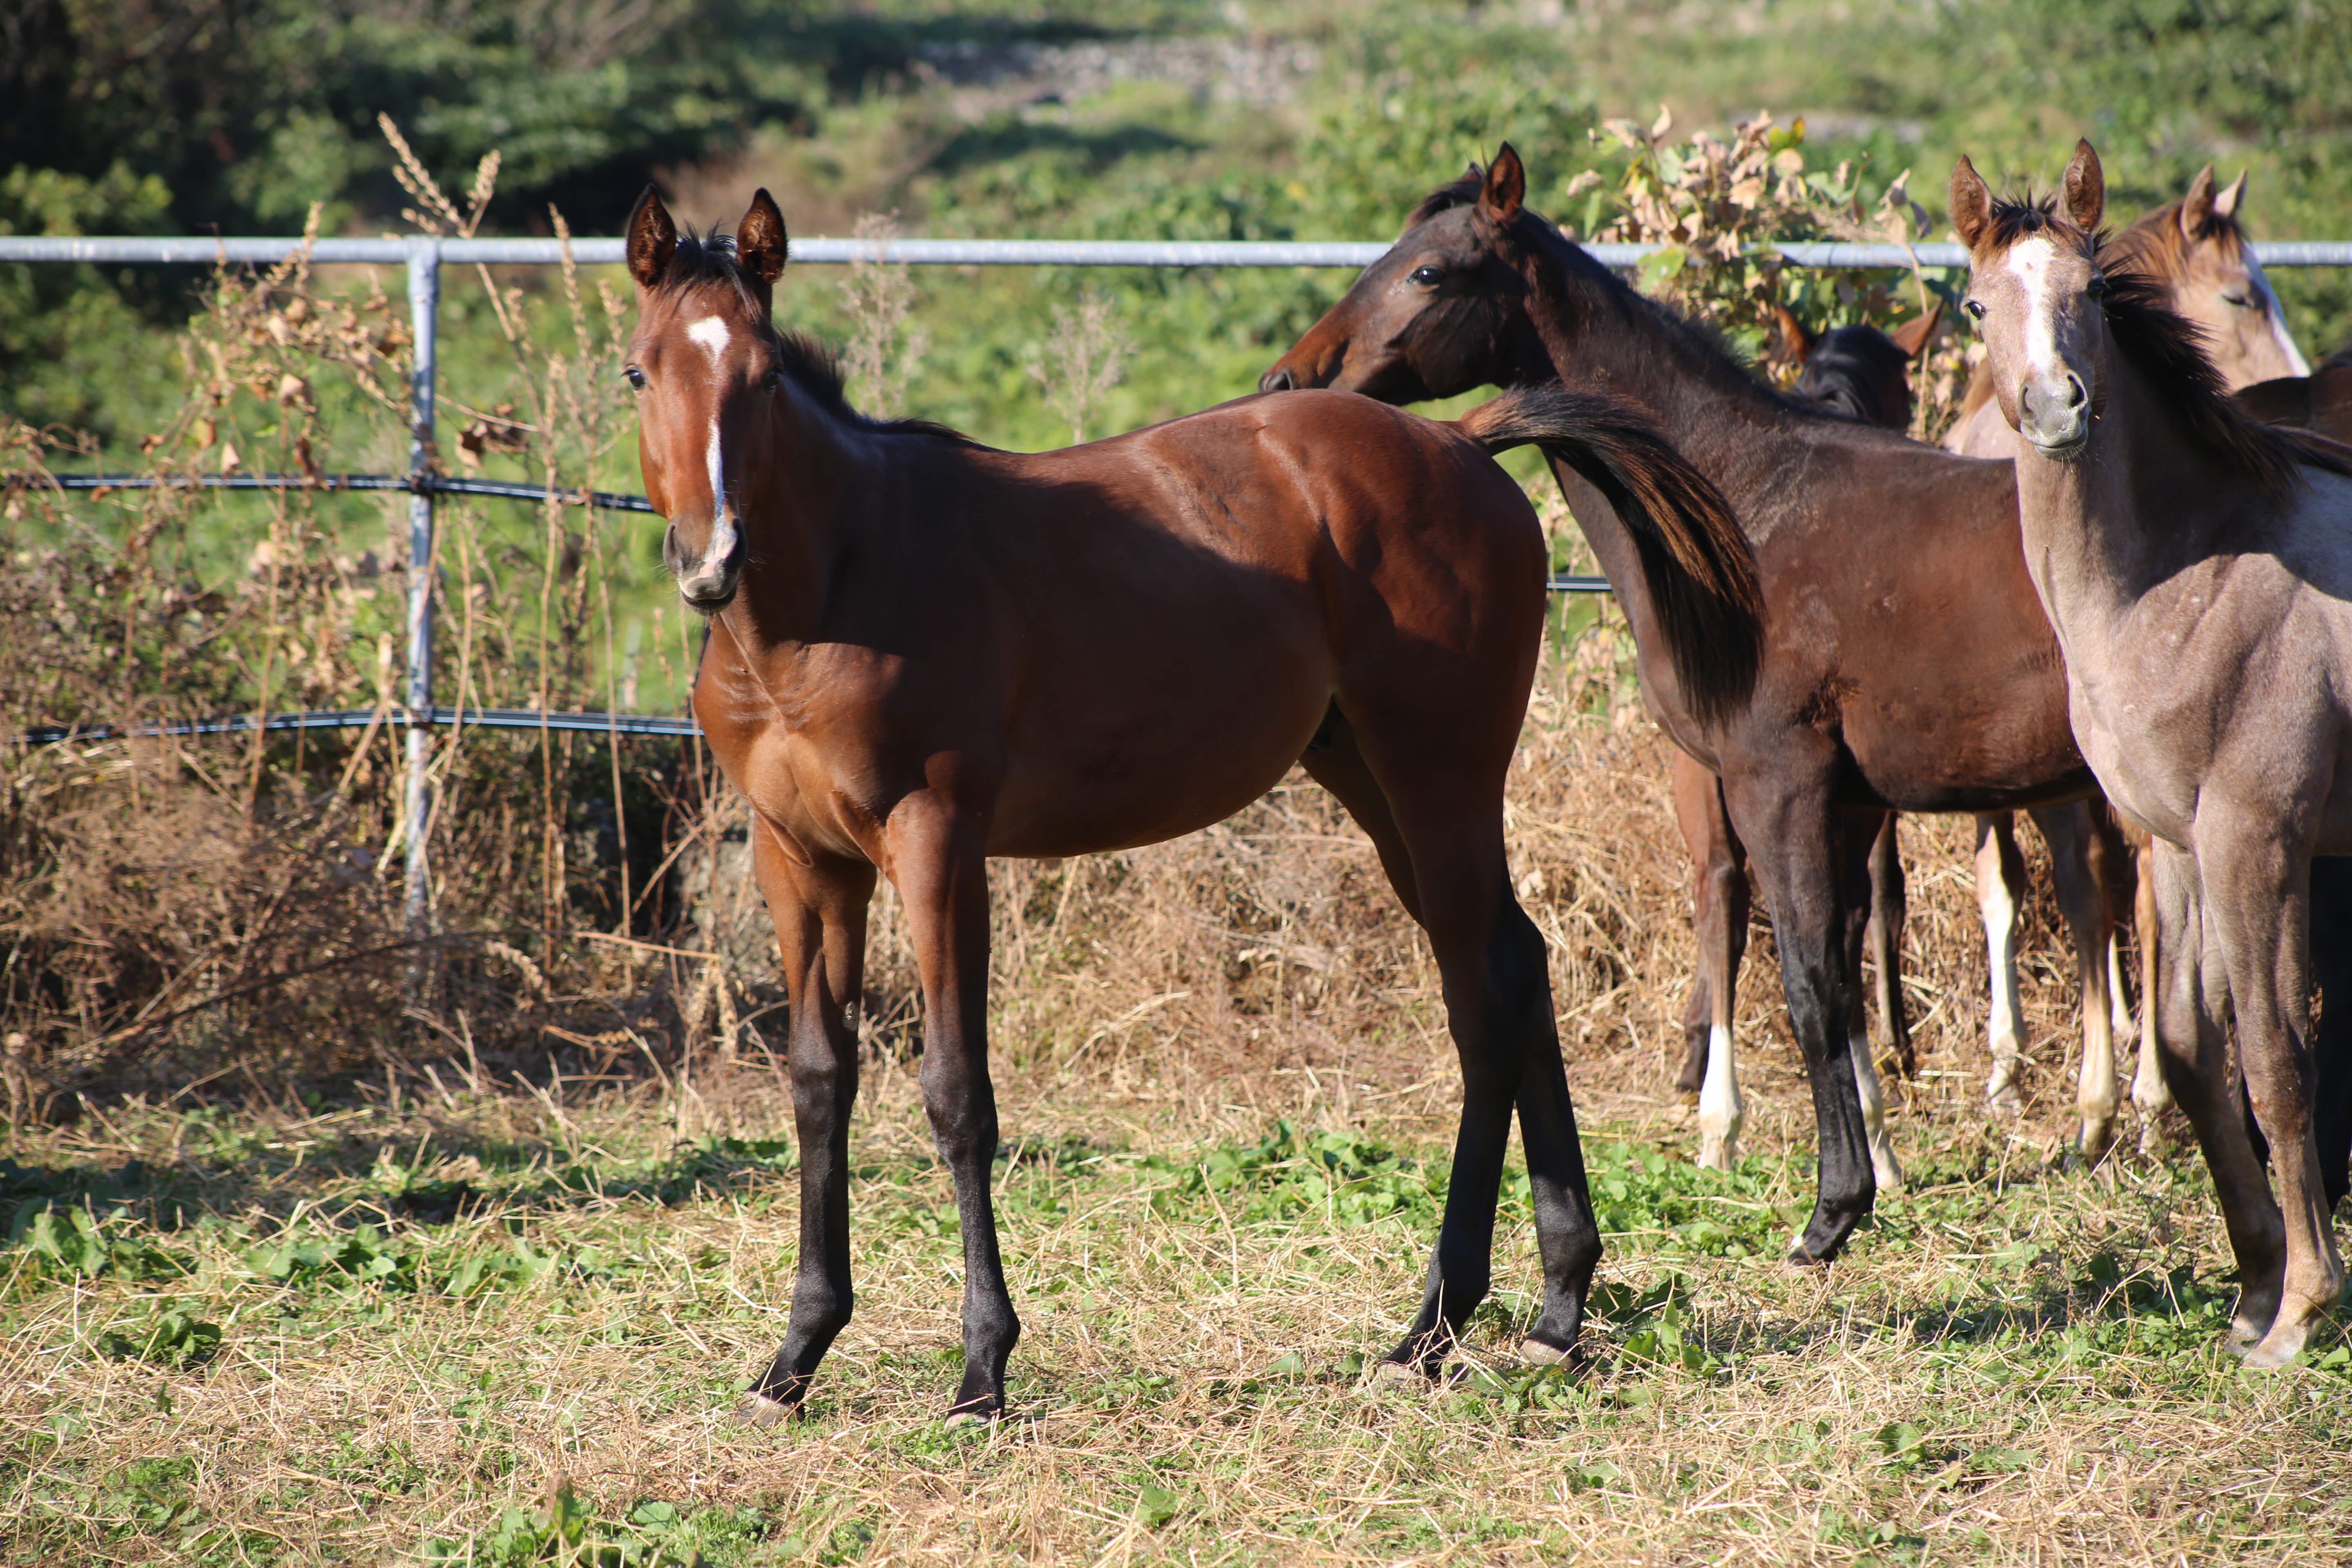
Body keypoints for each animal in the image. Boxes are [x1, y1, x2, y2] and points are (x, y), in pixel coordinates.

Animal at [626, 190, 1768, 1420]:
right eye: (638, 372)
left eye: (762, 378)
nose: (707, 559)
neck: (833, 587)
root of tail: (1461, 441)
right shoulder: (800, 858)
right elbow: (817, 1083)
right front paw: (795, 1355)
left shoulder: (937, 844)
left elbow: (954, 1089)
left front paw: (982, 1368)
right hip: (1372, 780)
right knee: (1512, 962)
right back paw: (1551, 1308)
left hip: (1438, 773)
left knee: (1485, 991)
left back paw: (1437, 1321)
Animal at [1270, 153, 2136, 1269]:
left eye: (1425, 272)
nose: (1293, 379)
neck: (1744, 502)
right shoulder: (1845, 804)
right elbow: (1839, 968)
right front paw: (1870, 1164)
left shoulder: (1777, 785)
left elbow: (1807, 981)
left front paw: (1832, 1209)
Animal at [1947, 144, 2352, 1363]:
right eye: (1976, 303)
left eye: (2087, 292)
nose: (2053, 407)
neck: (2191, 570)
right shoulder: (2175, 844)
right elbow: (2181, 1046)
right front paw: (2256, 1284)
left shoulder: (2256, 841)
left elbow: (2271, 1058)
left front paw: (2300, 1310)